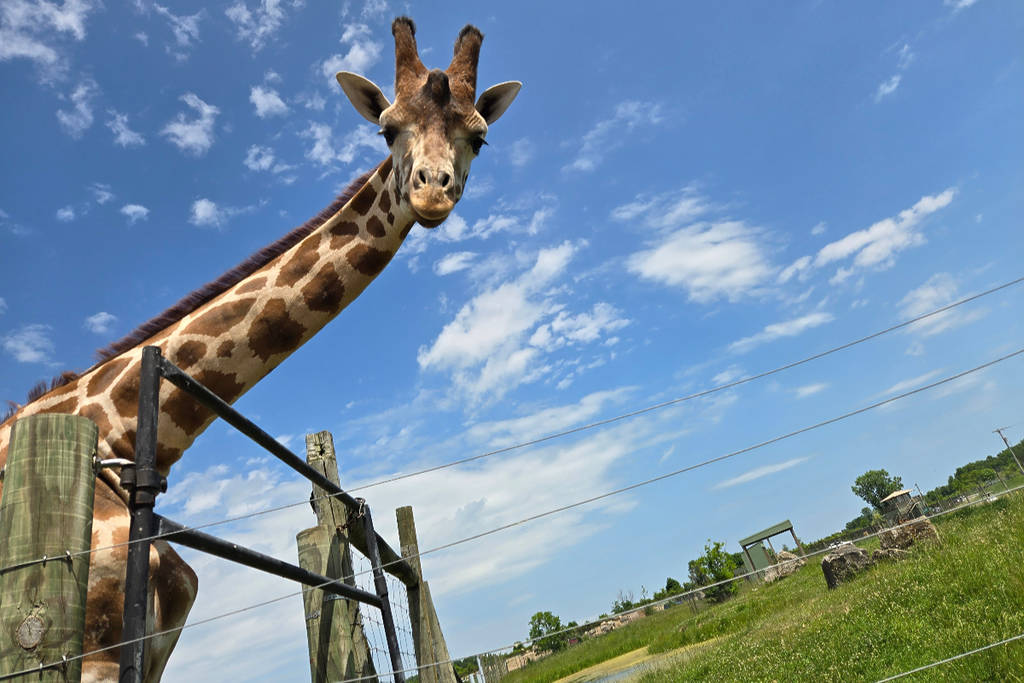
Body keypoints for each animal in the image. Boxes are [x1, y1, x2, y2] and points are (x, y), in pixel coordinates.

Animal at [0, 17, 520, 681]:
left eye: (479, 139)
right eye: (387, 129)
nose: (433, 193)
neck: (124, 436)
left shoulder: (147, 647)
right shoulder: (91, 649)